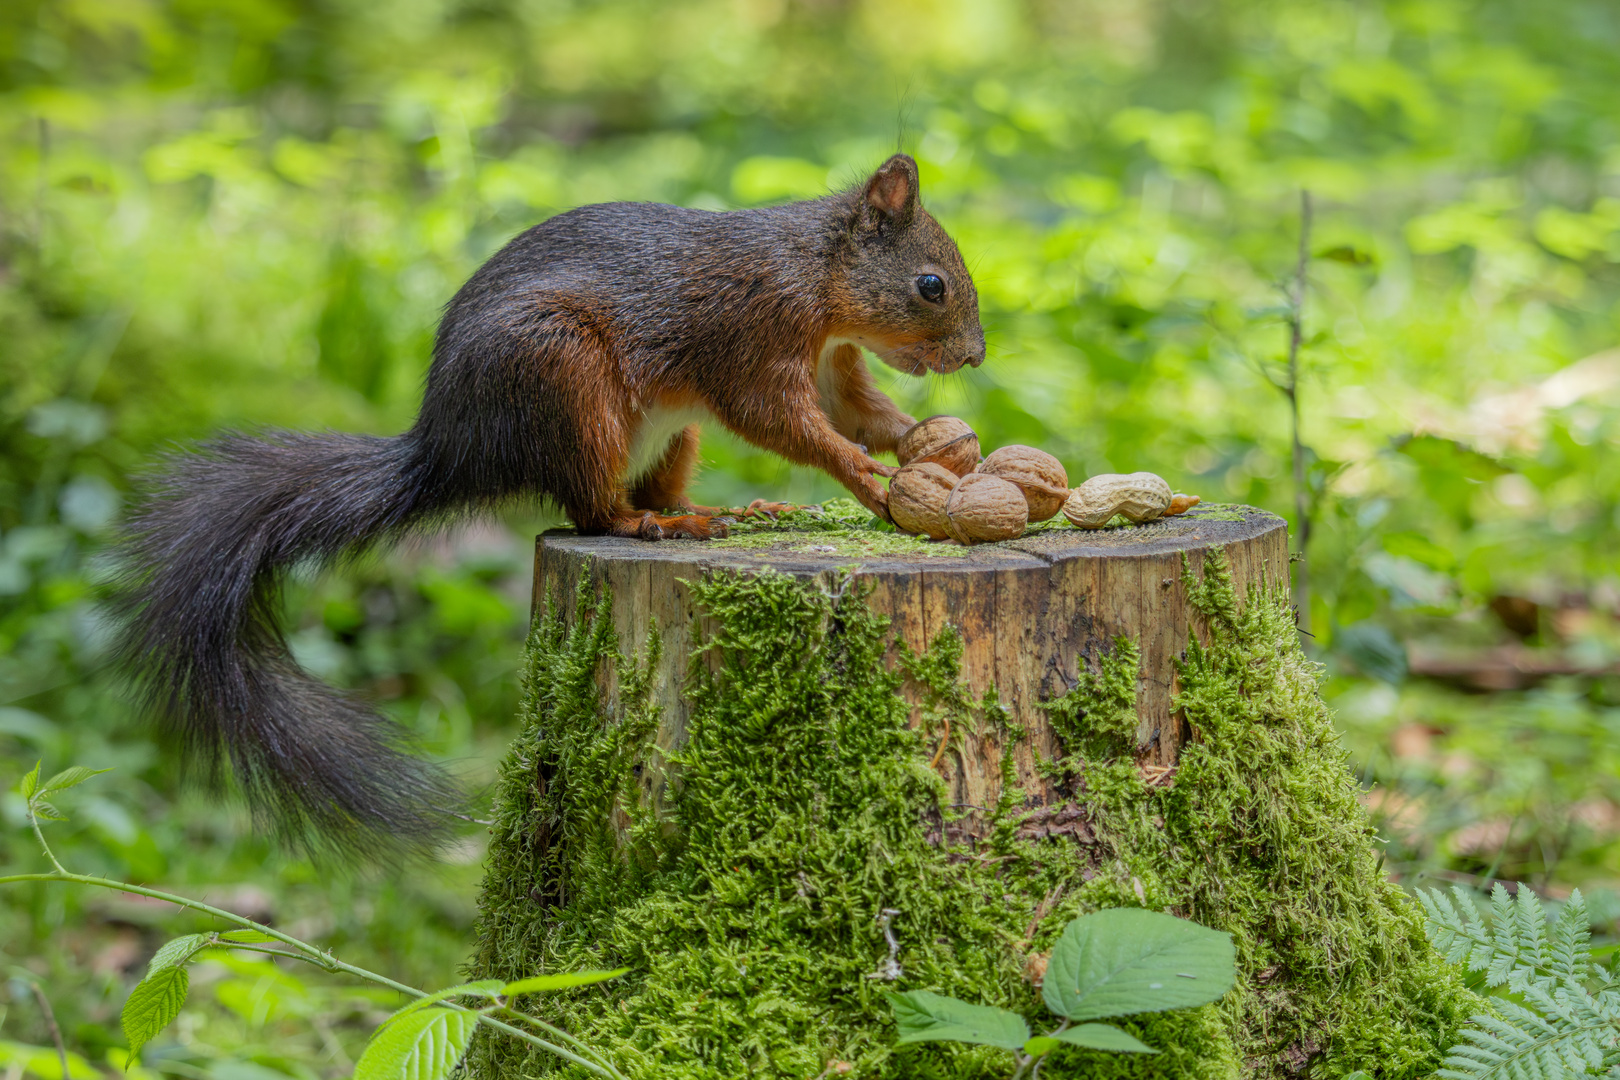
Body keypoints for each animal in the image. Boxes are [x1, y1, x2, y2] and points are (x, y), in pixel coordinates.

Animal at [110, 153, 984, 861]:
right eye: (930, 284)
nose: (976, 359)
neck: (815, 270)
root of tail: (451, 449)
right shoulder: (753, 334)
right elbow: (789, 423)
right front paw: (869, 477)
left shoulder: (833, 357)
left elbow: (857, 410)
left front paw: (936, 442)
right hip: (564, 379)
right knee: (594, 509)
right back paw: (658, 525)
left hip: (670, 431)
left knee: (647, 483)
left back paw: (731, 510)